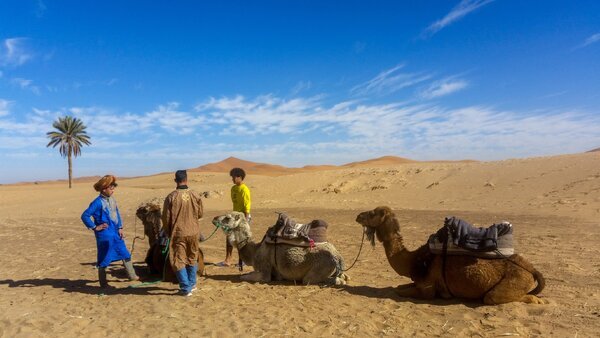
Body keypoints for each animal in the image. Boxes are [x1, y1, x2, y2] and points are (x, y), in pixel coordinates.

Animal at [213, 211, 350, 286]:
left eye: (227, 218)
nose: (214, 218)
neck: (254, 251)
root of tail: (338, 257)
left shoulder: (264, 271)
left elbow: (244, 276)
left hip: (319, 268)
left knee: (312, 280)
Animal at [356, 205, 548, 304]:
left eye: (372, 213)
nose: (358, 216)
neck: (413, 260)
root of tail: (532, 269)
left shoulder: (427, 290)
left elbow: (398, 291)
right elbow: (398, 287)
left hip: (514, 281)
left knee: (493, 297)